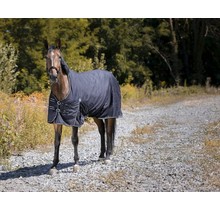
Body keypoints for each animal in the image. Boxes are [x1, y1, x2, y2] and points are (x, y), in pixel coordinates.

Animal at [43, 39, 121, 174]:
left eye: (59, 57)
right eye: (47, 57)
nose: (53, 76)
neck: (64, 90)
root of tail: (112, 76)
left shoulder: (75, 119)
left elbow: (74, 139)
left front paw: (76, 164)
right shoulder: (56, 120)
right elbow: (57, 141)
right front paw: (53, 166)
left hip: (110, 113)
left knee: (109, 131)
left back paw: (108, 156)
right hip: (96, 113)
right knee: (102, 130)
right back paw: (101, 155)